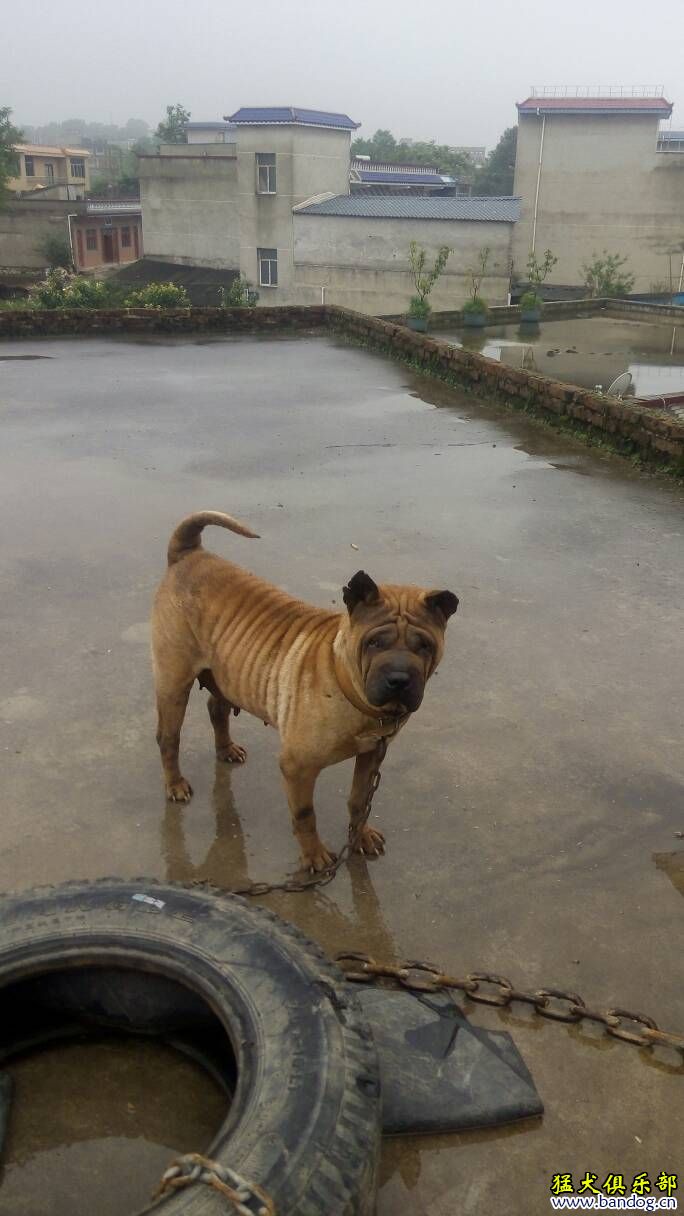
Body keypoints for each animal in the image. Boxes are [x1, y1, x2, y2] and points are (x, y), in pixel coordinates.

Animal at [151, 513, 455, 875]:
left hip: (227, 673)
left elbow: (359, 799)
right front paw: (314, 856)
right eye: (375, 642)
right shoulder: (297, 767)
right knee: (169, 738)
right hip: (174, 683)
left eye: (424, 645)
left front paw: (361, 836)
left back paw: (226, 750)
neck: (347, 683)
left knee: (217, 709)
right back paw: (175, 785)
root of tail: (188, 554)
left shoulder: (371, 755)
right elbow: (305, 815)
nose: (399, 680)